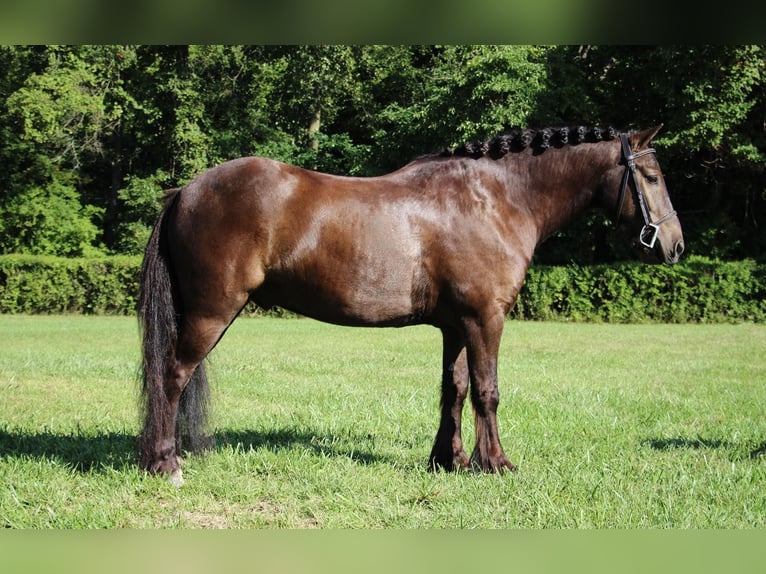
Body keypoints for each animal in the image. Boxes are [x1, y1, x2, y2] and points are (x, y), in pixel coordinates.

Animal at [136, 125, 684, 486]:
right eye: (652, 175)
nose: (675, 245)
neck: (495, 199)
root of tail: (186, 190)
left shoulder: (457, 325)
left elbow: (455, 389)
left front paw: (451, 460)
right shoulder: (486, 318)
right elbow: (487, 390)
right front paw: (496, 463)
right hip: (211, 313)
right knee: (171, 375)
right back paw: (165, 464)